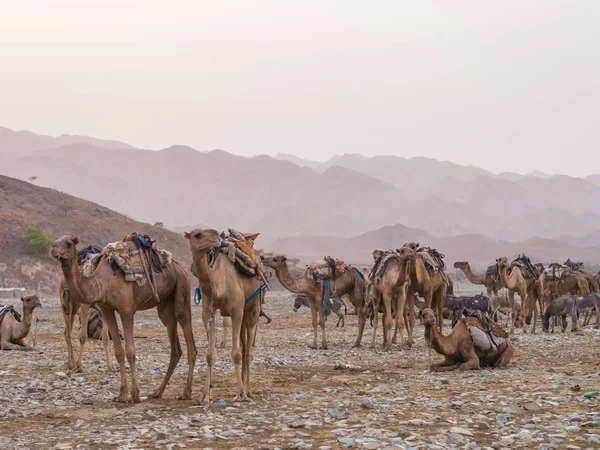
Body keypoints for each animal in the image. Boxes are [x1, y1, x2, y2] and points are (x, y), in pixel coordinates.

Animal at [51, 236, 197, 404]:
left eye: (68, 244)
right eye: (55, 242)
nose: (53, 249)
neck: (102, 281)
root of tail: (180, 267)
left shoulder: (126, 310)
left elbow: (130, 352)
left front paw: (135, 394)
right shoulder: (106, 309)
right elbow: (119, 351)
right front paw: (122, 394)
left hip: (182, 288)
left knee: (187, 334)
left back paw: (186, 392)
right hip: (165, 305)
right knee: (175, 344)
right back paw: (157, 392)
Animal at [186, 229, 264, 404]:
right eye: (197, 234)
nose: (216, 236)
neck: (218, 287)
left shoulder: (237, 310)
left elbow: (236, 354)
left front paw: (240, 393)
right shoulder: (208, 311)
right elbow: (210, 355)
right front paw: (204, 395)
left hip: (253, 308)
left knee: (248, 351)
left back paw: (248, 390)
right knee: (244, 346)